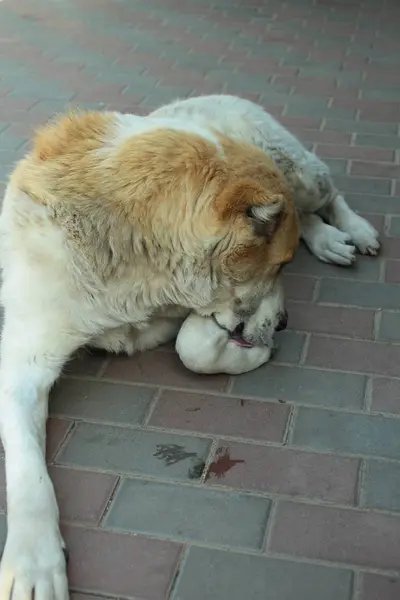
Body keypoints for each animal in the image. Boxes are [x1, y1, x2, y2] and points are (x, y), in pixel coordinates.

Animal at [0, 95, 378, 600]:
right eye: (278, 267)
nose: (285, 323)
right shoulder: (23, 362)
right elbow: (27, 468)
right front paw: (33, 560)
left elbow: (192, 344)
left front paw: (249, 349)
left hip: (299, 171)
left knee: (327, 195)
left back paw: (351, 232)